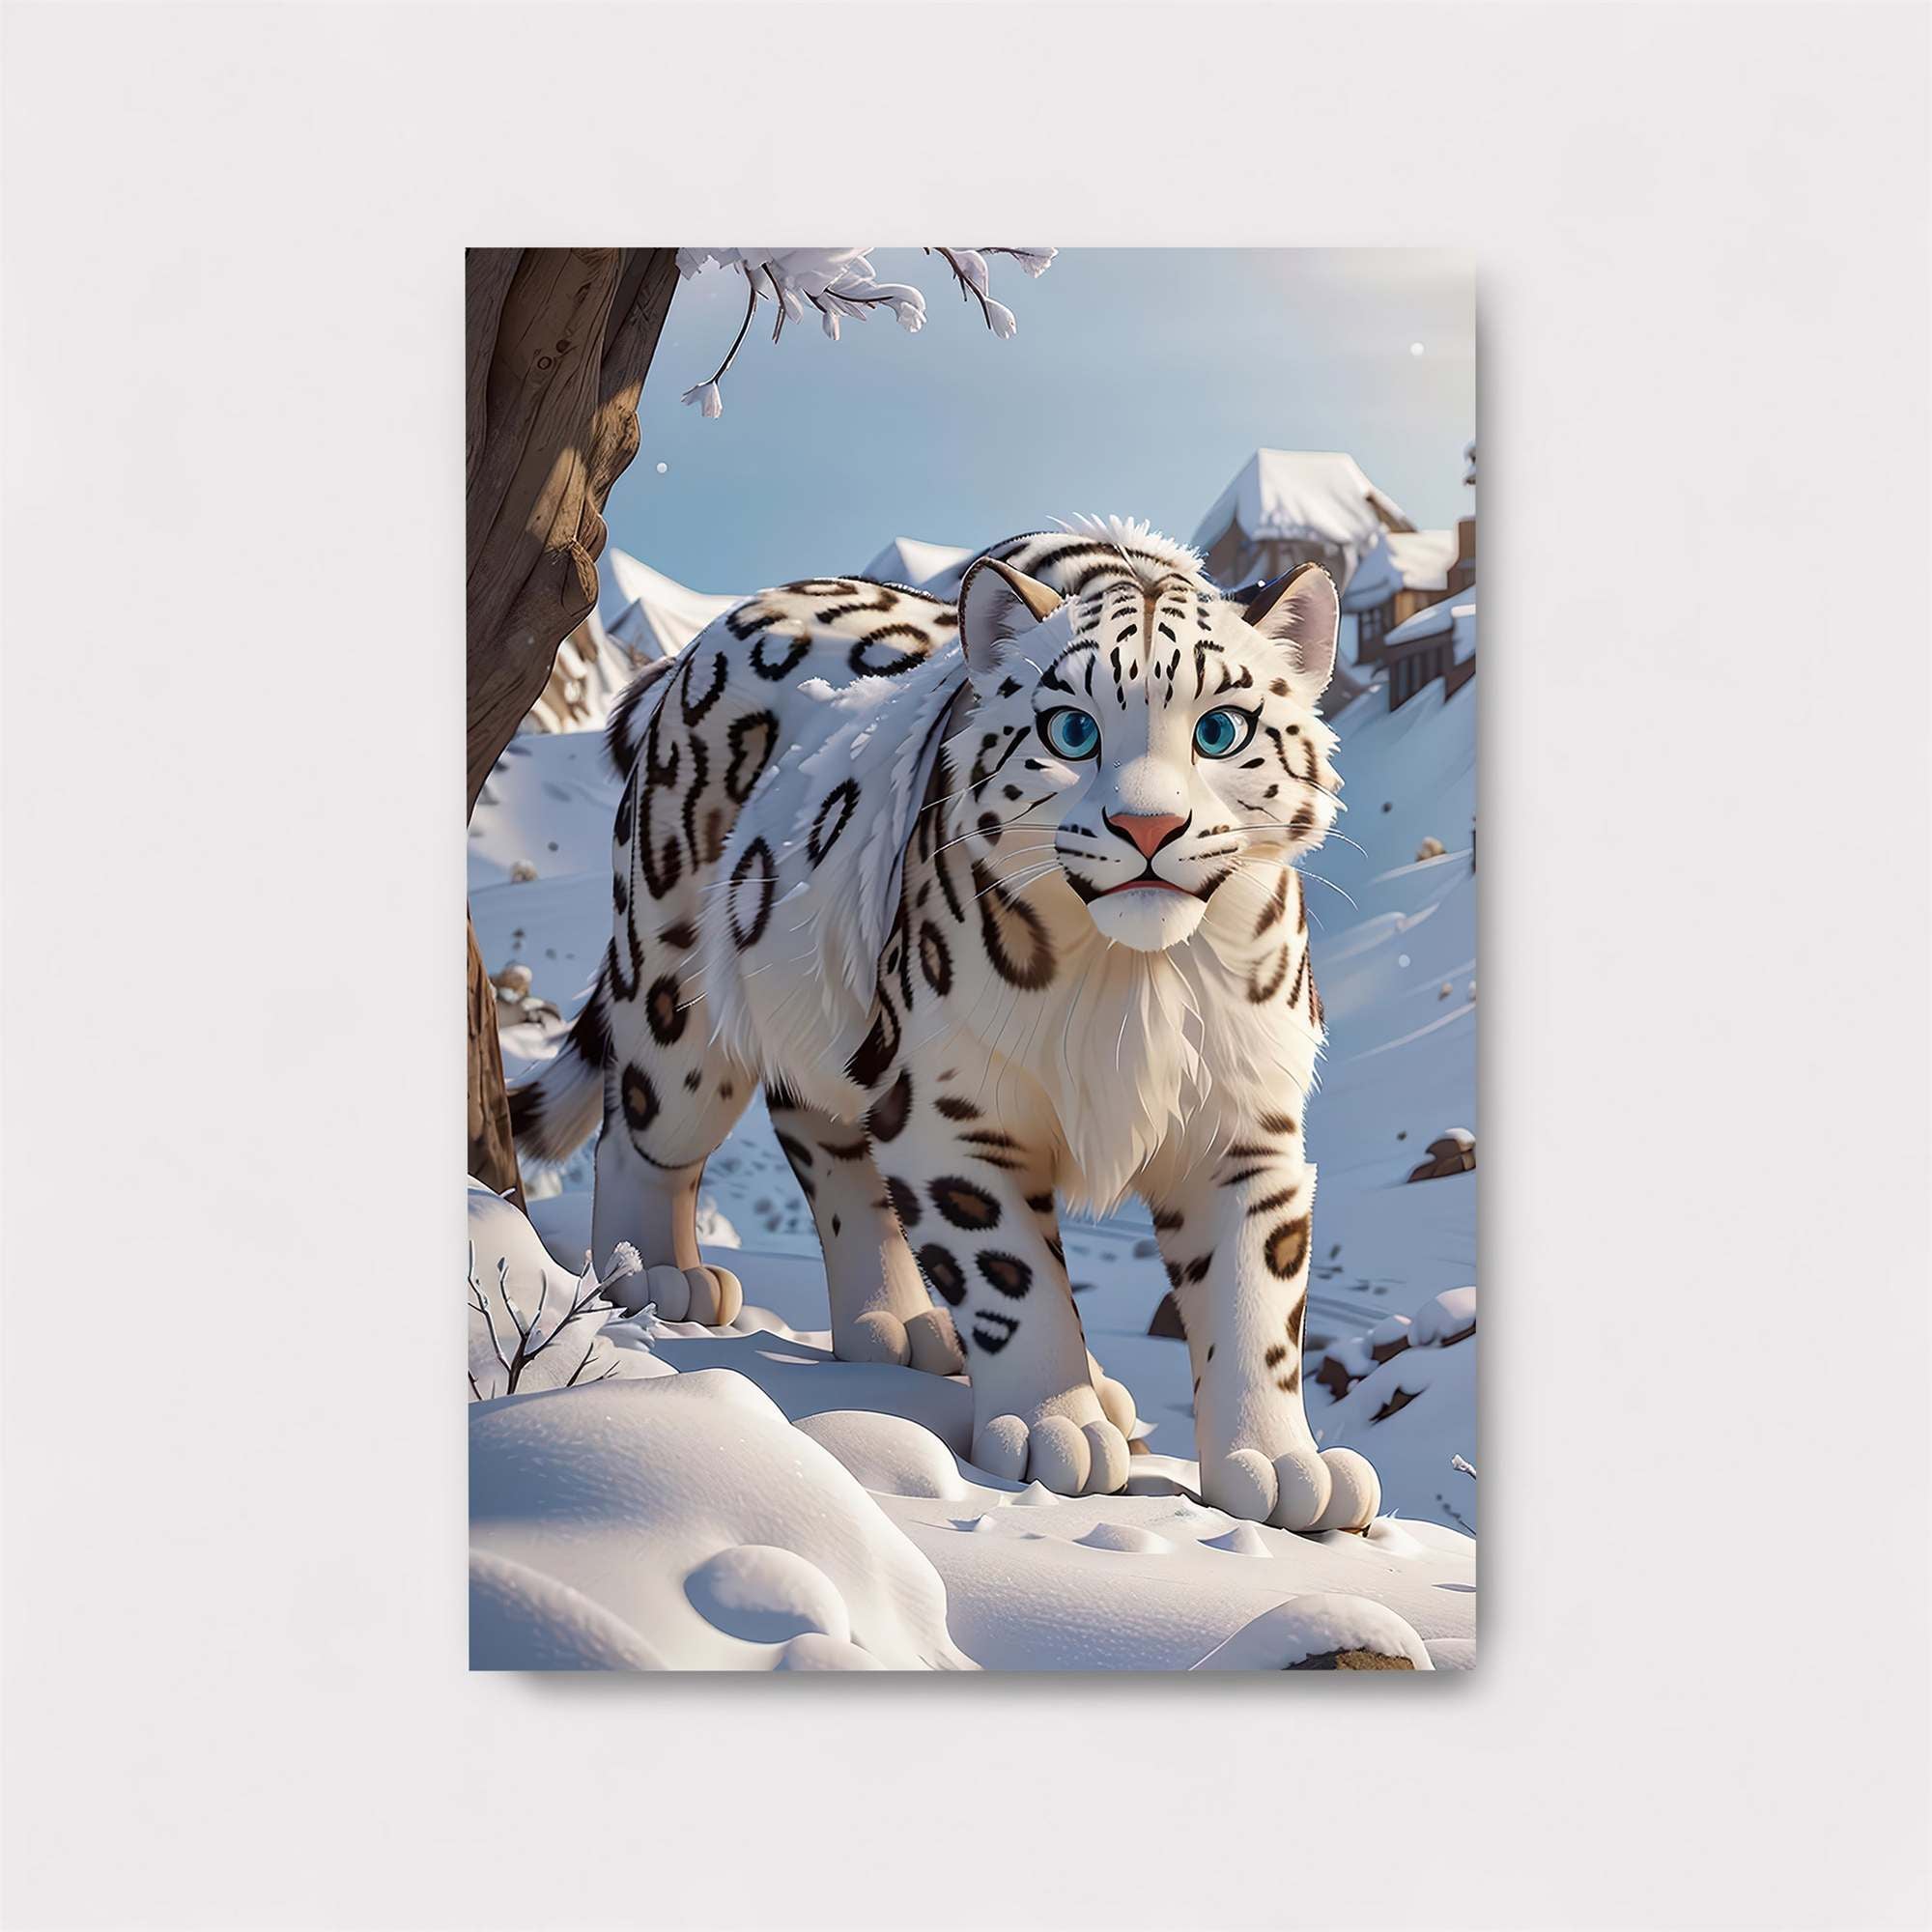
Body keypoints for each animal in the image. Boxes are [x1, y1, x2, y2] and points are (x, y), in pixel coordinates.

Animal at [509, 516, 1380, 1531]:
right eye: (1072, 728)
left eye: (1220, 728)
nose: (1147, 827)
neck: (1136, 978)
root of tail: (715, 633)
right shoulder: (952, 1117)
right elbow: (1013, 1278)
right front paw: (1056, 1430)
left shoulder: (1242, 1130)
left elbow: (1256, 1302)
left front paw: (1279, 1469)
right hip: (676, 987)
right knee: (644, 1121)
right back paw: (656, 1274)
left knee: (825, 1142)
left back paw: (899, 1327)